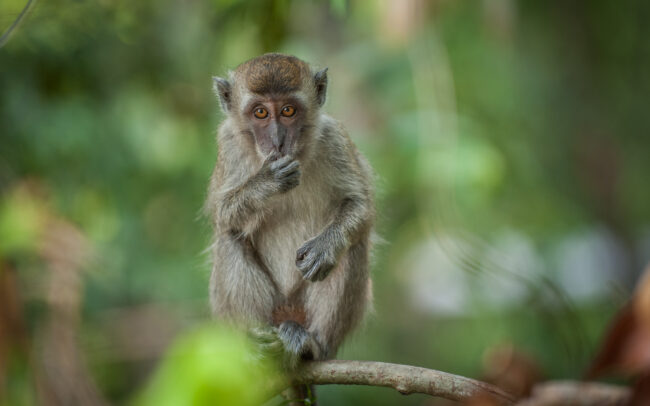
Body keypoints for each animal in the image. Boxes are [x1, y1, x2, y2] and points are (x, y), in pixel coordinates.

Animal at [205, 53, 375, 371]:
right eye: (260, 113)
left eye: (288, 110)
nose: (277, 141)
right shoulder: (228, 146)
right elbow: (222, 214)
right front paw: (266, 182)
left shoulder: (333, 139)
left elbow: (361, 205)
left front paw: (326, 247)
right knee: (230, 238)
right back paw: (255, 348)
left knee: (352, 248)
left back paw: (311, 344)